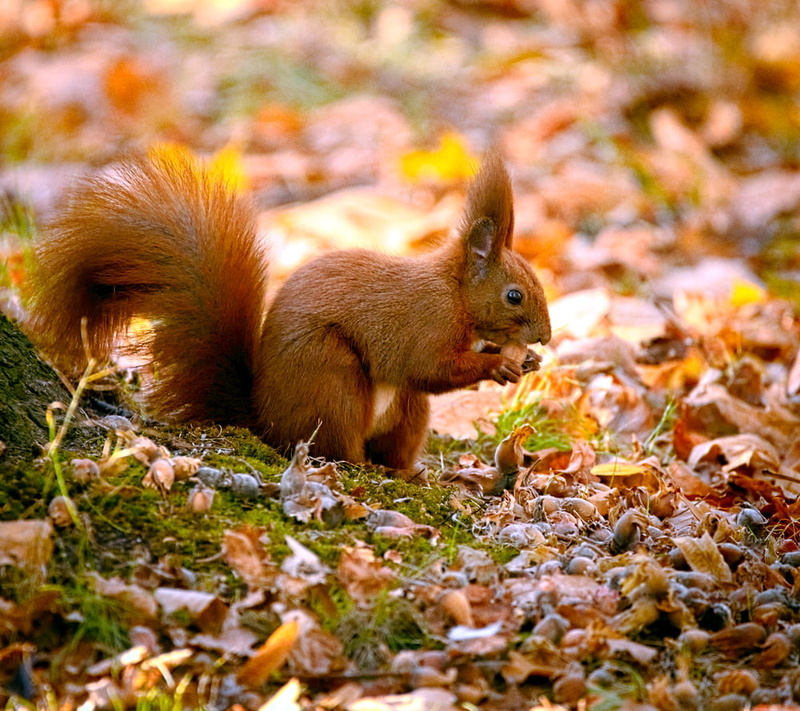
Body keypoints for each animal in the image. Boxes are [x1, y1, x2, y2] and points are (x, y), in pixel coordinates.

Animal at [27, 149, 551, 469]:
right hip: (332, 380)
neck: (455, 293)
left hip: (404, 412)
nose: (545, 336)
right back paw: (366, 469)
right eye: (514, 295)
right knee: (336, 448)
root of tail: (264, 420)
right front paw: (499, 366)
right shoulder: (424, 322)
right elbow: (431, 368)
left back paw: (407, 473)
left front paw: (527, 361)